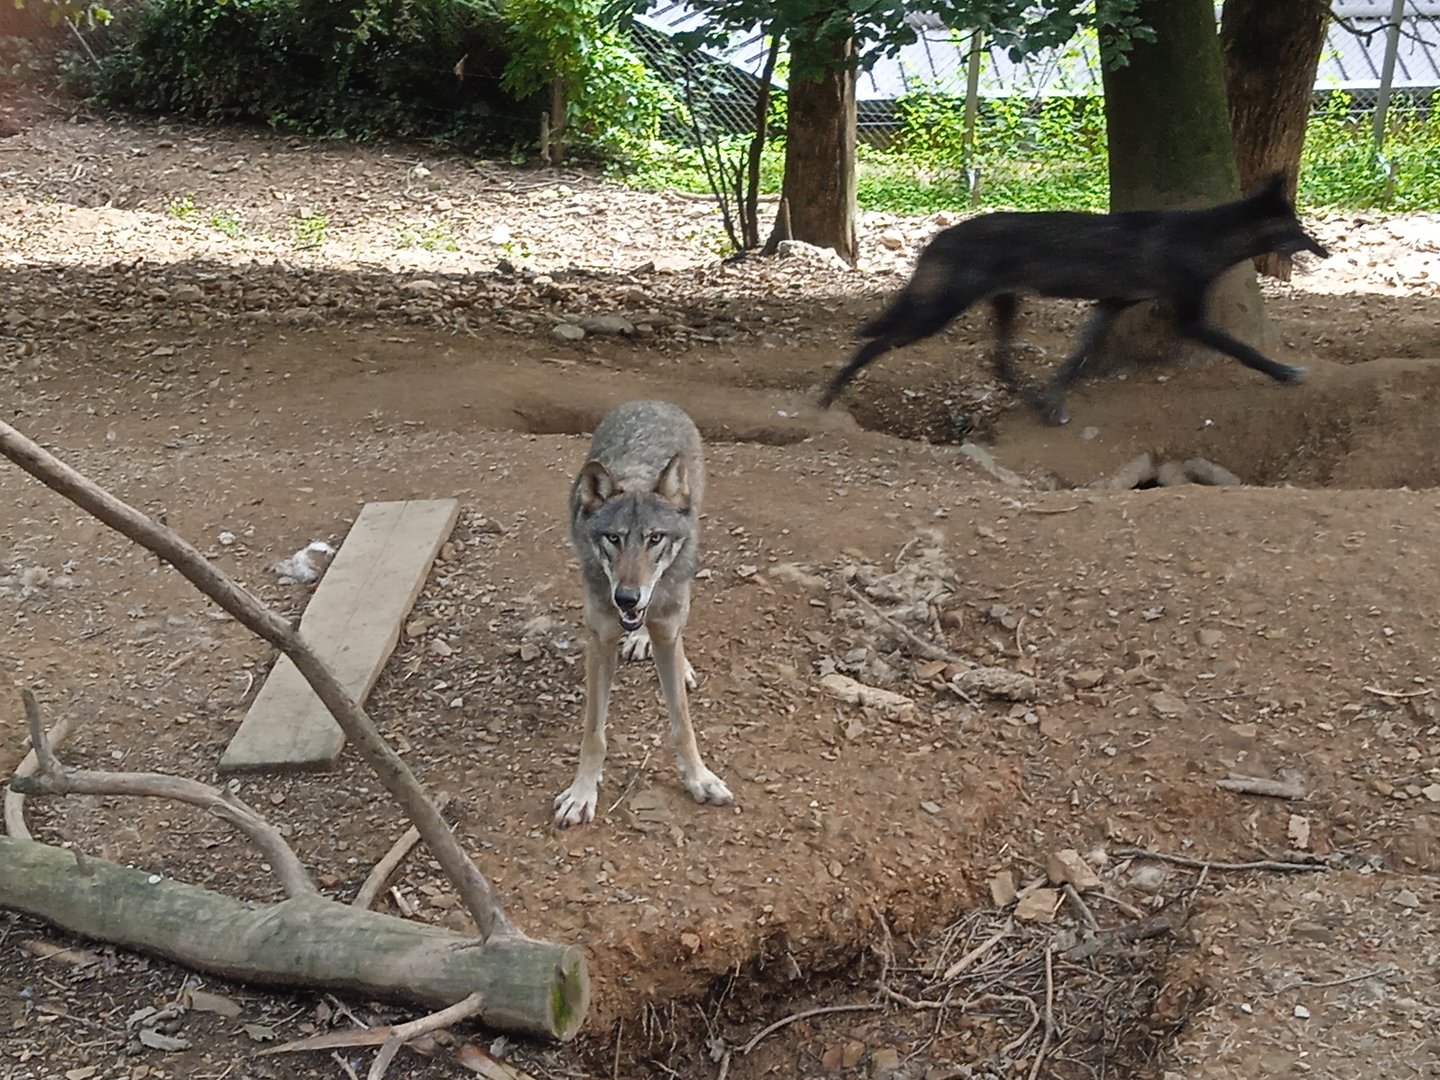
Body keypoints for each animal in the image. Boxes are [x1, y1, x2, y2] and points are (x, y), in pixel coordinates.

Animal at [553, 399, 734, 828]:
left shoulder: (666, 628)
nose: (626, 598)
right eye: (613, 539)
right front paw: (582, 793)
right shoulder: (600, 639)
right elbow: (594, 733)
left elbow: (683, 724)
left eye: (654, 538)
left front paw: (699, 779)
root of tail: (651, 402)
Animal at [819, 174, 1330, 424]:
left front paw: (1053, 404)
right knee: (873, 344)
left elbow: (1075, 361)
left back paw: (1030, 401)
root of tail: (939, 237)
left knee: (999, 363)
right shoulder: (1190, 319)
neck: (1201, 238)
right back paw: (826, 398)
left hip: (1002, 306)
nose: (1325, 250)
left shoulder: (1110, 306)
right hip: (938, 313)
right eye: (1300, 228)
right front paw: (1285, 372)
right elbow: (1242, 350)